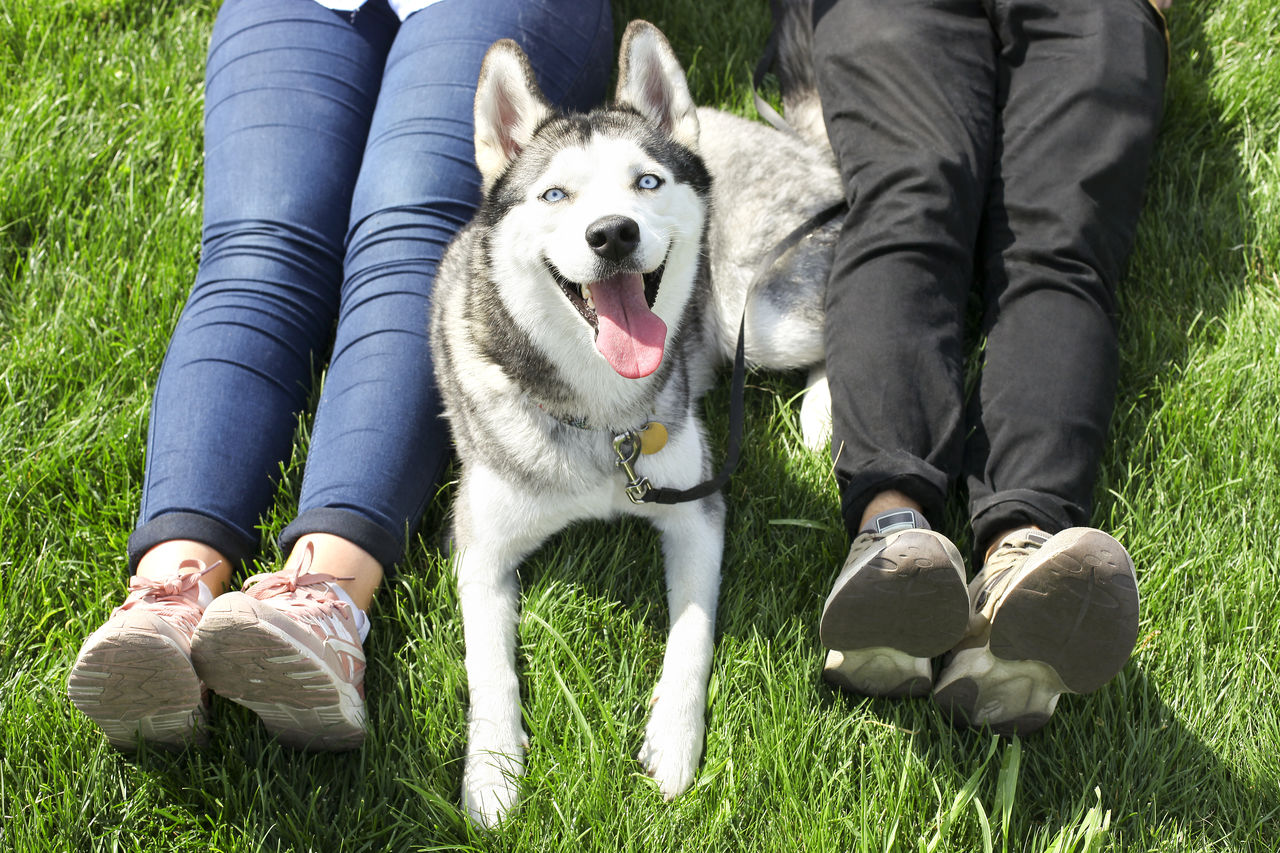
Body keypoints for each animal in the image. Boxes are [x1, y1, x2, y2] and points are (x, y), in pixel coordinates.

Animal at [430, 13, 844, 824]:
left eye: (646, 182)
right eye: (555, 194)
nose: (613, 233)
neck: (602, 419)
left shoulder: (698, 510)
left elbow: (692, 635)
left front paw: (674, 743)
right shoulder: (480, 544)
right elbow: (487, 665)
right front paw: (491, 772)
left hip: (758, 316)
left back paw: (820, 413)